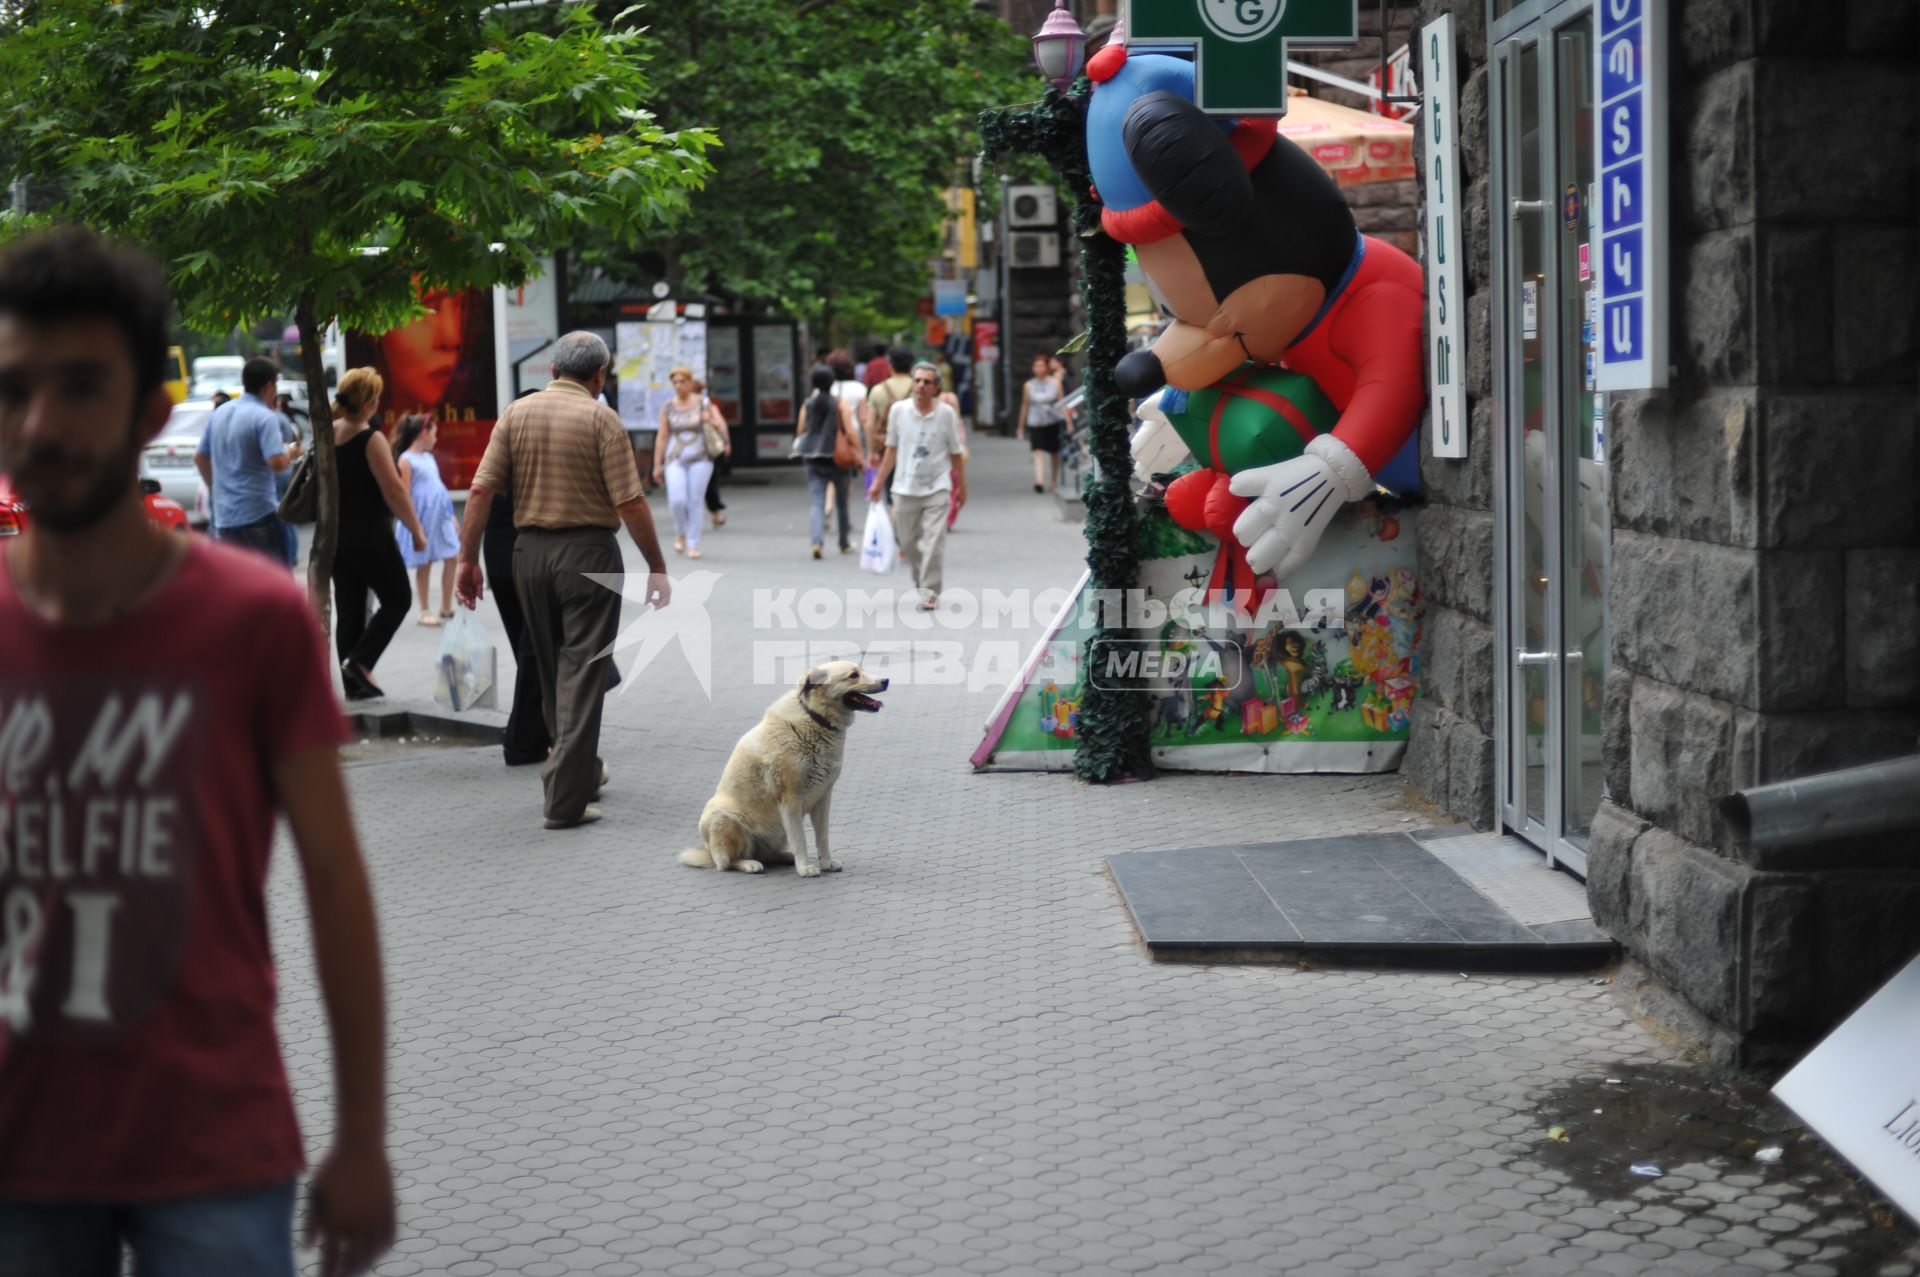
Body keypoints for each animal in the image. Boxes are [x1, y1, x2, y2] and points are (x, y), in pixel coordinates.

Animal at [679, 656, 887, 875]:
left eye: (861, 671)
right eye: (853, 675)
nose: (886, 681)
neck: (814, 718)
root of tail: (708, 850)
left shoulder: (823, 798)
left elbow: (822, 837)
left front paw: (826, 862)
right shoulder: (791, 800)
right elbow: (800, 839)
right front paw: (804, 868)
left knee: (765, 855)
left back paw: (784, 857)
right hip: (724, 819)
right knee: (727, 862)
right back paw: (749, 864)